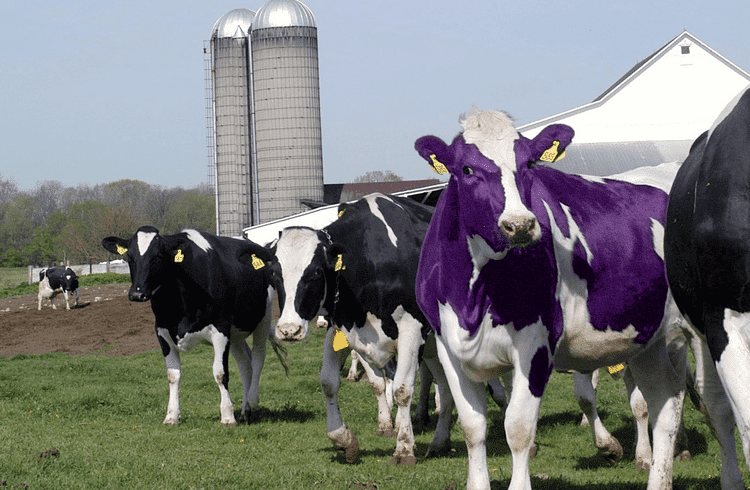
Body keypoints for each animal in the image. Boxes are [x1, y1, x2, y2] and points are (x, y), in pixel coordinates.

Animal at [101, 226, 283, 427]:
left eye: (158, 256)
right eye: (130, 257)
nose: (137, 294)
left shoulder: (220, 329)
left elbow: (220, 373)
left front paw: (227, 416)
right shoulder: (162, 331)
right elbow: (173, 375)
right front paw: (171, 416)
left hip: (264, 318)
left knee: (258, 358)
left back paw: (252, 403)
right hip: (235, 333)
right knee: (245, 365)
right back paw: (244, 411)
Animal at [270, 193, 455, 466]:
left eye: (315, 273)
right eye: (274, 274)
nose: (288, 330)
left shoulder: (412, 329)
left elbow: (401, 389)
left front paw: (404, 448)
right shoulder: (344, 329)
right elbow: (331, 383)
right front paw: (344, 439)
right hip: (434, 348)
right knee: (445, 384)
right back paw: (440, 441)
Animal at [414, 109, 688, 490]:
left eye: (529, 163)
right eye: (466, 169)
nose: (520, 225)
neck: (472, 297)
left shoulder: (536, 344)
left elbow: (517, 429)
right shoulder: (448, 347)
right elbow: (472, 428)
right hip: (651, 338)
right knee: (666, 402)